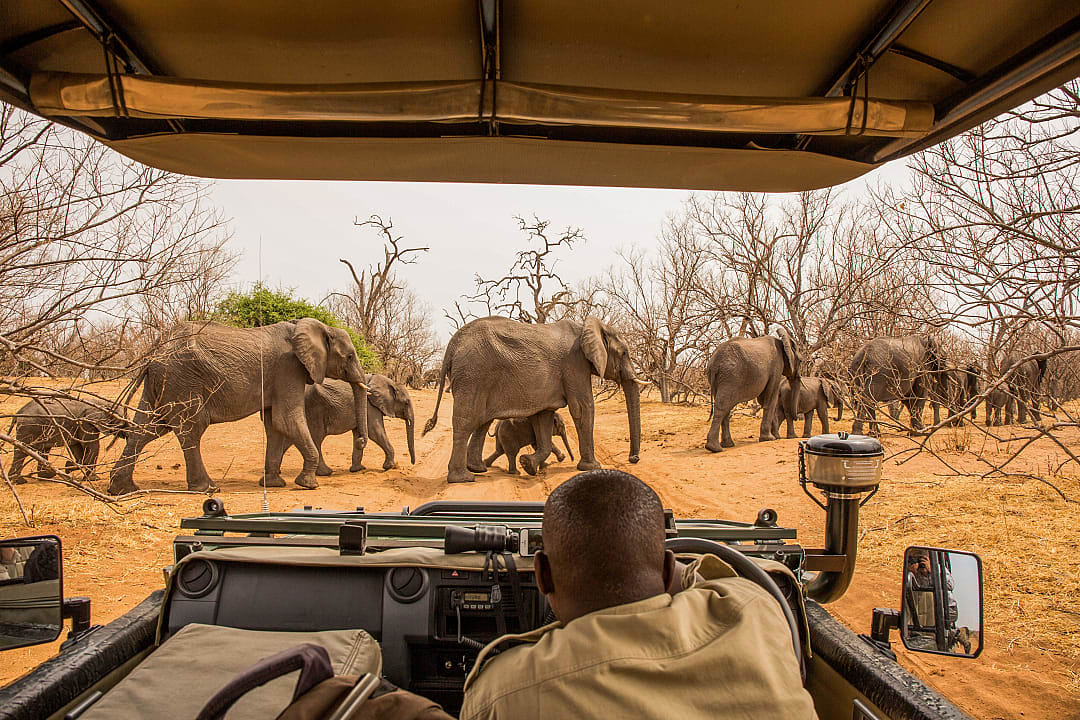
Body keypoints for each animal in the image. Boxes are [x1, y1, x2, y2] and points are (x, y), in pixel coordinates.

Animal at [108, 318, 368, 495]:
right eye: (350, 356)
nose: (360, 440)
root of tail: (152, 353)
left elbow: (274, 424)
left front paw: (273, 484)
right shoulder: (287, 368)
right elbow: (287, 419)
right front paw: (308, 484)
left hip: (162, 383)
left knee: (147, 429)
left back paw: (122, 489)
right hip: (182, 380)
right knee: (190, 429)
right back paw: (207, 488)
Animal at [267, 375, 416, 476]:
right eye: (406, 402)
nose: (412, 463)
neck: (389, 381)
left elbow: (358, 432)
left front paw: (358, 469)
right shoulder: (370, 406)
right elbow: (375, 431)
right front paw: (389, 467)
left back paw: (277, 473)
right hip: (314, 408)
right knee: (317, 438)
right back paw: (325, 473)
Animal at [424, 316, 645, 484]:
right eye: (624, 353)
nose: (634, 458)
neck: (588, 327)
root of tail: (453, 344)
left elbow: (543, 417)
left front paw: (528, 465)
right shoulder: (574, 365)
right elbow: (582, 408)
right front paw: (591, 468)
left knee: (482, 422)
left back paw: (478, 470)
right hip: (473, 374)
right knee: (466, 421)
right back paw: (463, 479)